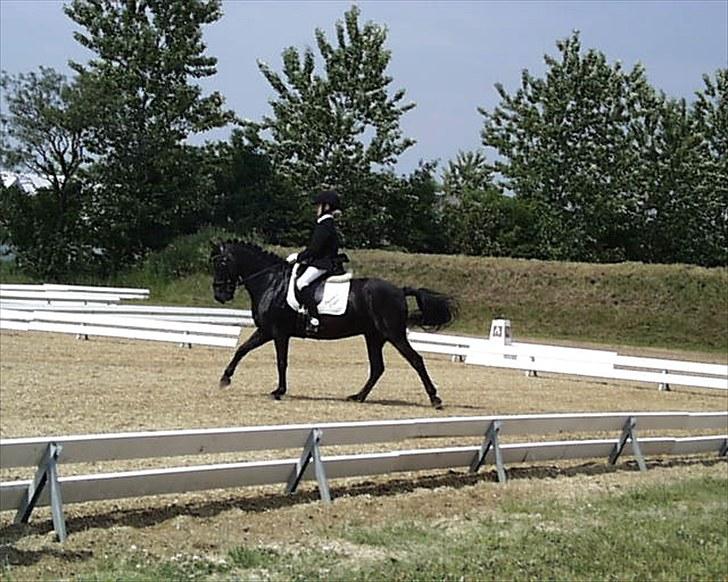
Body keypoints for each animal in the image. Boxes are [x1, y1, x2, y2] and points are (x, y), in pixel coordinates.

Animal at [210, 240, 457, 409]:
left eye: (221, 262)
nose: (220, 295)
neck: (271, 282)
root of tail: (399, 290)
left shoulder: (278, 332)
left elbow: (281, 361)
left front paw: (279, 391)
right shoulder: (265, 331)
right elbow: (242, 350)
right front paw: (224, 379)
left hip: (393, 333)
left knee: (416, 360)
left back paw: (435, 398)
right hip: (374, 336)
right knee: (377, 367)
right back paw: (358, 397)